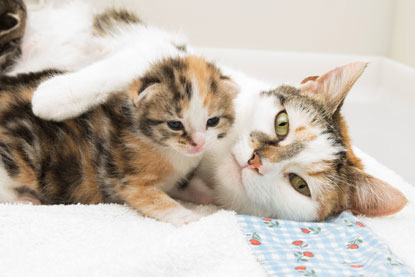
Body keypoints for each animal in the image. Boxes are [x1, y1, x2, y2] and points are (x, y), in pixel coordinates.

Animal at [0, 55, 237, 225]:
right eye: (175, 124)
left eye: (212, 121)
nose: (199, 143)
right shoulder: (128, 179)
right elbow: (157, 201)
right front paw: (190, 218)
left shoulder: (178, 176)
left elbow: (189, 185)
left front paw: (215, 196)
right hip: (20, 155)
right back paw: (23, 198)